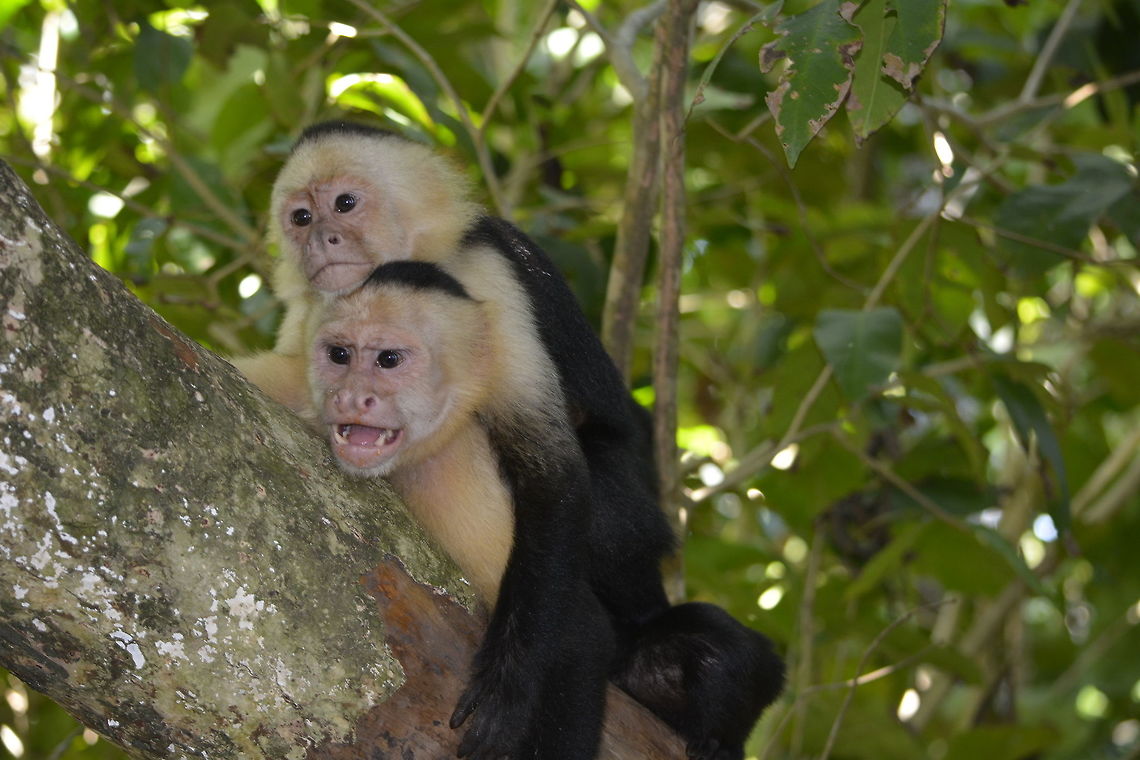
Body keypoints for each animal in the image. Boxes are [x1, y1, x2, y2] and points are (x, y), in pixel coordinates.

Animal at [234, 122, 784, 760]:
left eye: (345, 204)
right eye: (299, 216)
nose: (321, 238)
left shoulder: (487, 275)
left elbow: (553, 475)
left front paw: (510, 679)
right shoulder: (312, 317)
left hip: (637, 526)